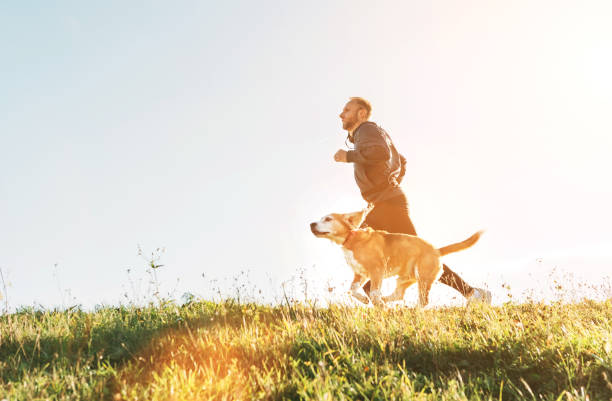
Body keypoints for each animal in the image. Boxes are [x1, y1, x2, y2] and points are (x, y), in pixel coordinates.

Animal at [310, 209, 482, 306]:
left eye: (328, 219)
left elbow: (373, 291)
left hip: (423, 277)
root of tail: (437, 250)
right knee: (399, 295)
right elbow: (352, 290)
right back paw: (385, 301)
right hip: (404, 279)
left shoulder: (376, 270)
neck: (351, 239)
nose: (311, 224)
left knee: (423, 301)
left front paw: (375, 301)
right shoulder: (360, 274)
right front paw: (365, 300)